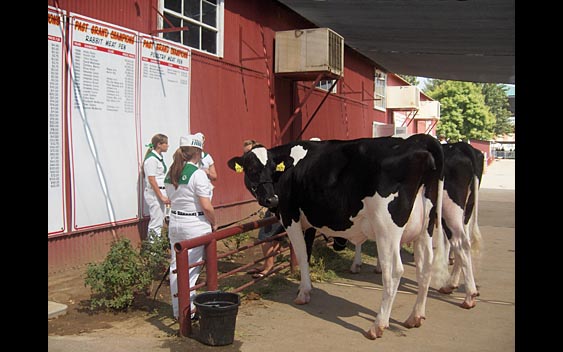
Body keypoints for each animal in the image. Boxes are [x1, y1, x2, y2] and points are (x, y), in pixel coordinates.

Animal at [227, 134, 452, 338]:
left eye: (273, 168)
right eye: (252, 169)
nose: (272, 199)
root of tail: (418, 140)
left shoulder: (290, 217)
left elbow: (301, 254)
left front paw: (303, 293)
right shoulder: (310, 222)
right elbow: (308, 253)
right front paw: (307, 288)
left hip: (387, 229)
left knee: (394, 271)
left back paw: (377, 326)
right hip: (425, 228)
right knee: (426, 266)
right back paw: (415, 317)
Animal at [348, 142, 484, 310]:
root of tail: (462, 147)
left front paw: (358, 264)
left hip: (449, 211)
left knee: (459, 243)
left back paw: (465, 293)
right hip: (465, 211)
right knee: (464, 243)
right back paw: (454, 285)